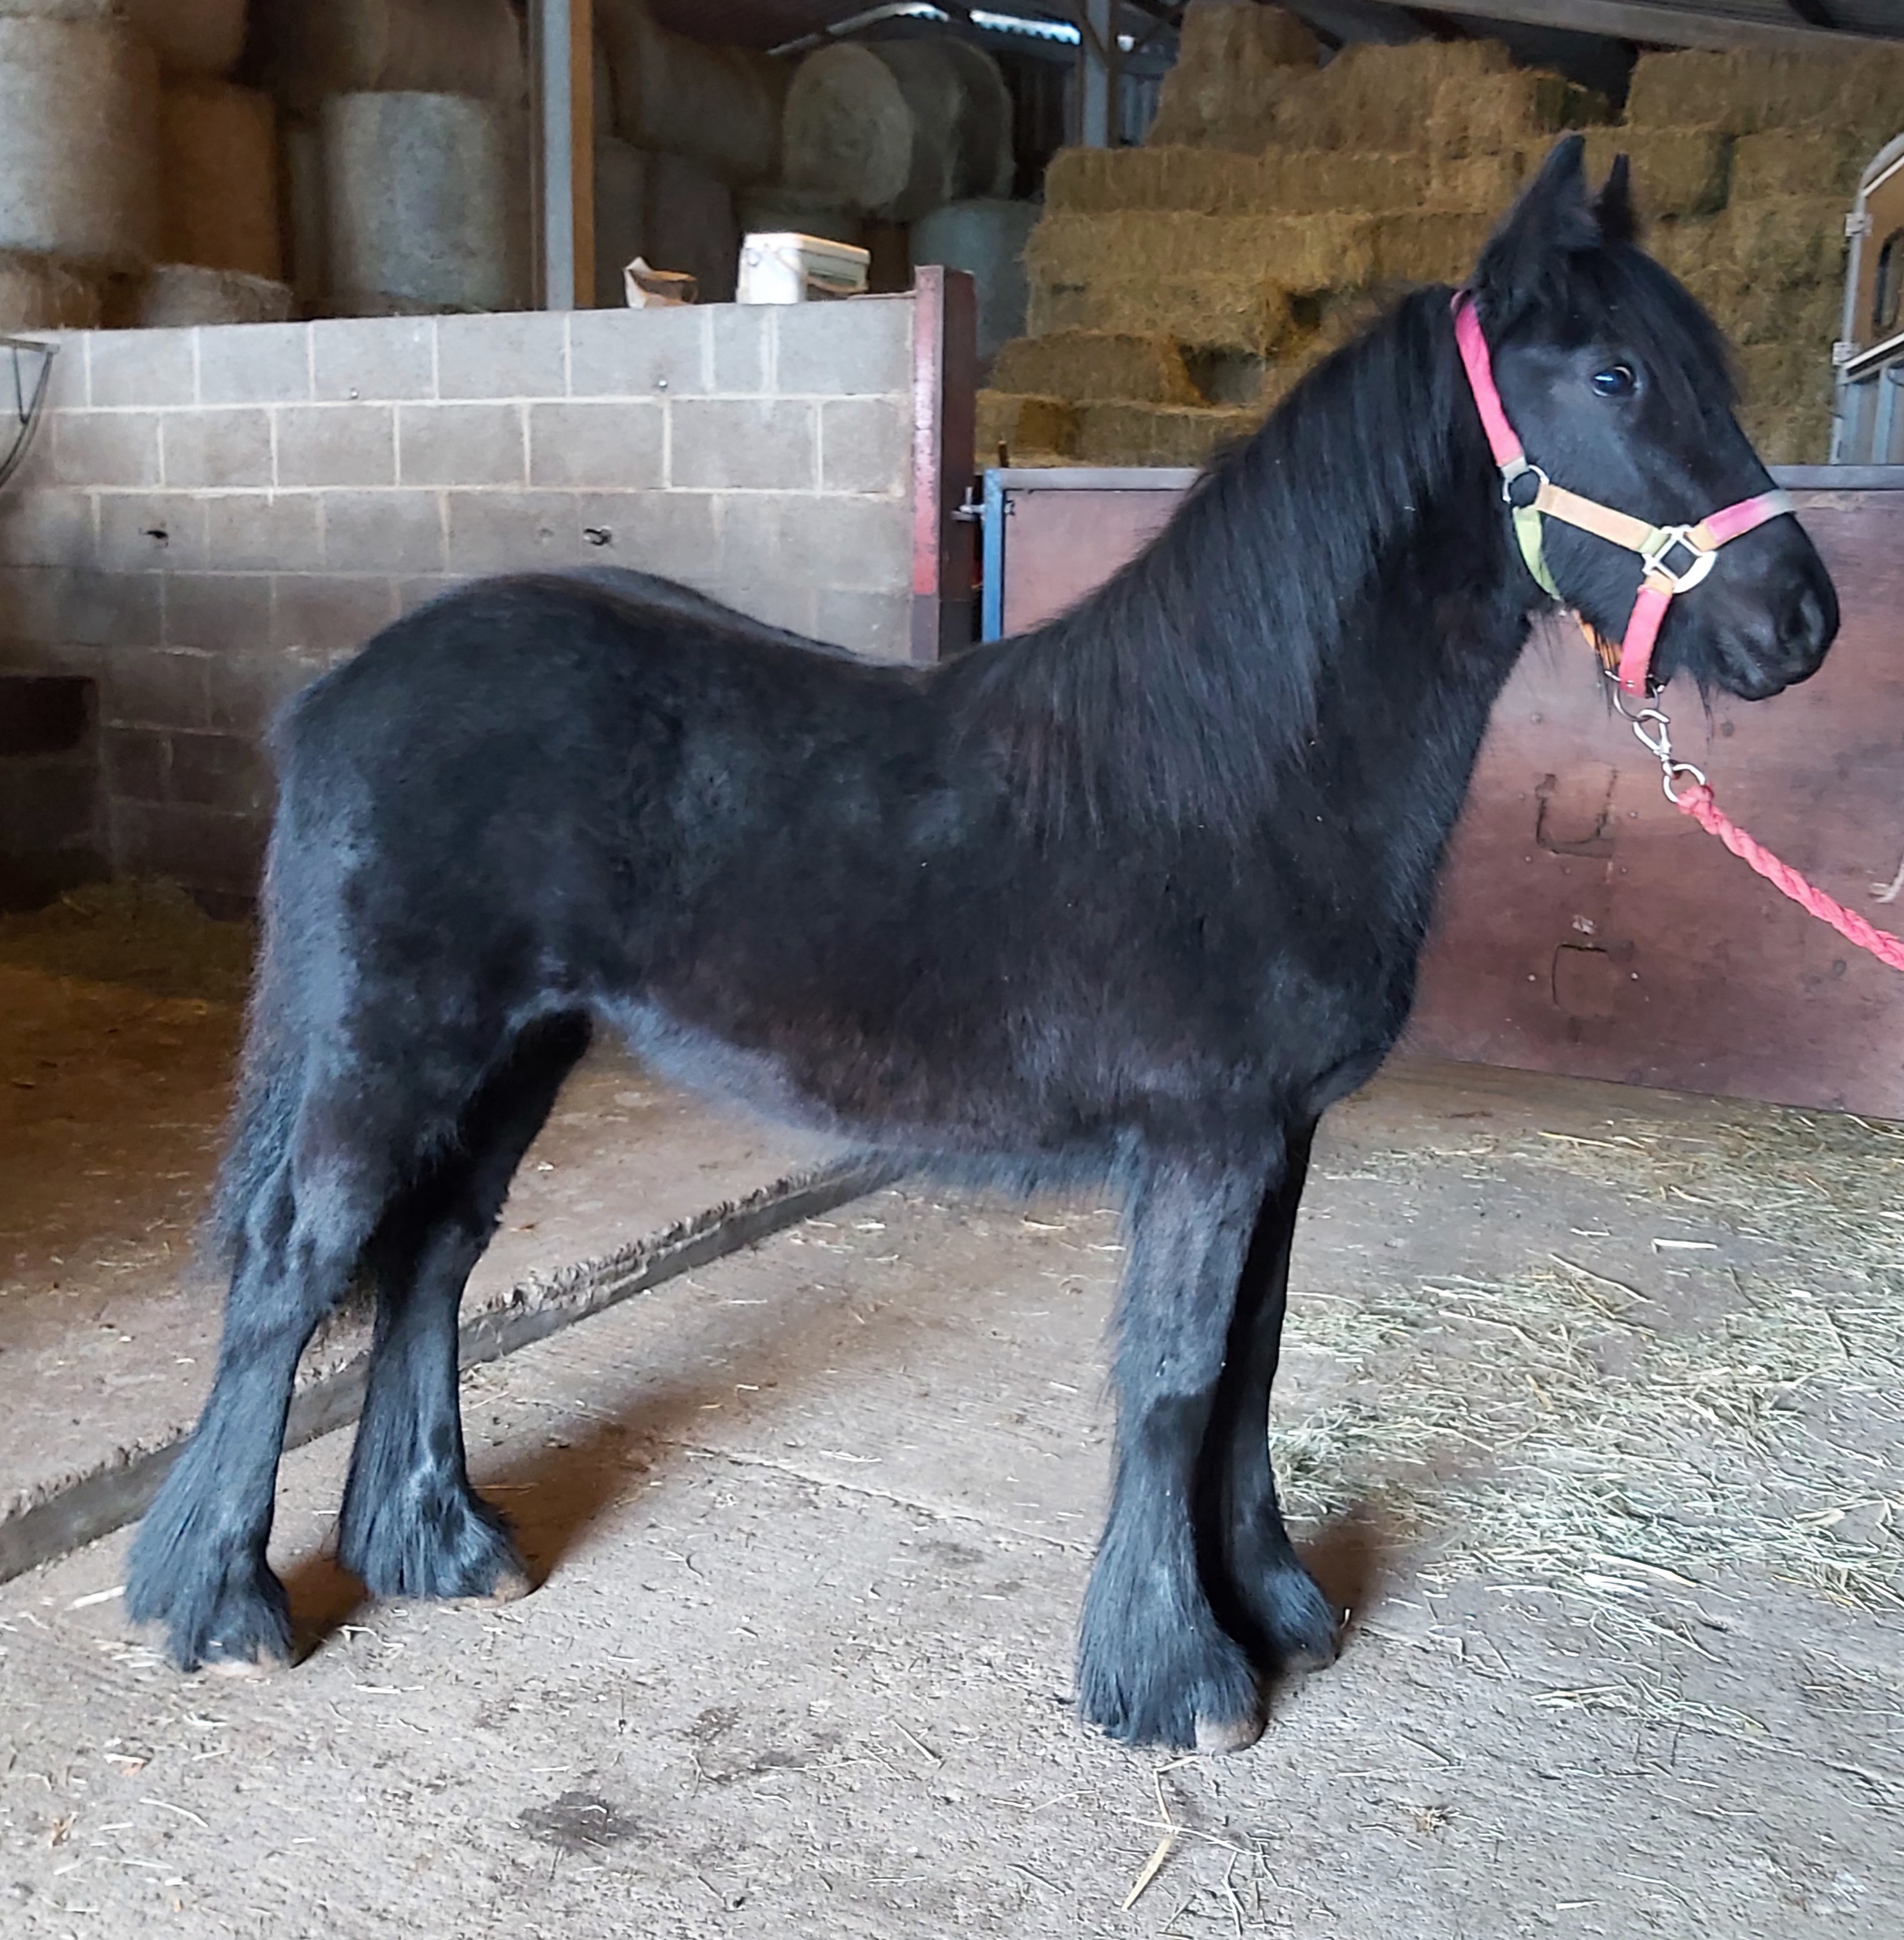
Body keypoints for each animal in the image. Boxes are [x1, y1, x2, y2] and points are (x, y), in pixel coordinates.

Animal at [130, 147, 1830, 1761]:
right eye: (1610, 377)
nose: (1800, 619)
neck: (1235, 762)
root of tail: (347, 682)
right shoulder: (1204, 1143)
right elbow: (1174, 1382)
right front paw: (1178, 1678)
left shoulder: (1276, 1142)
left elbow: (1250, 1367)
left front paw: (1272, 1606)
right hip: (393, 1041)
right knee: (296, 1268)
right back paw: (216, 1604)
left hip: (517, 1047)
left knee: (428, 1255)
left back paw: (437, 1546)